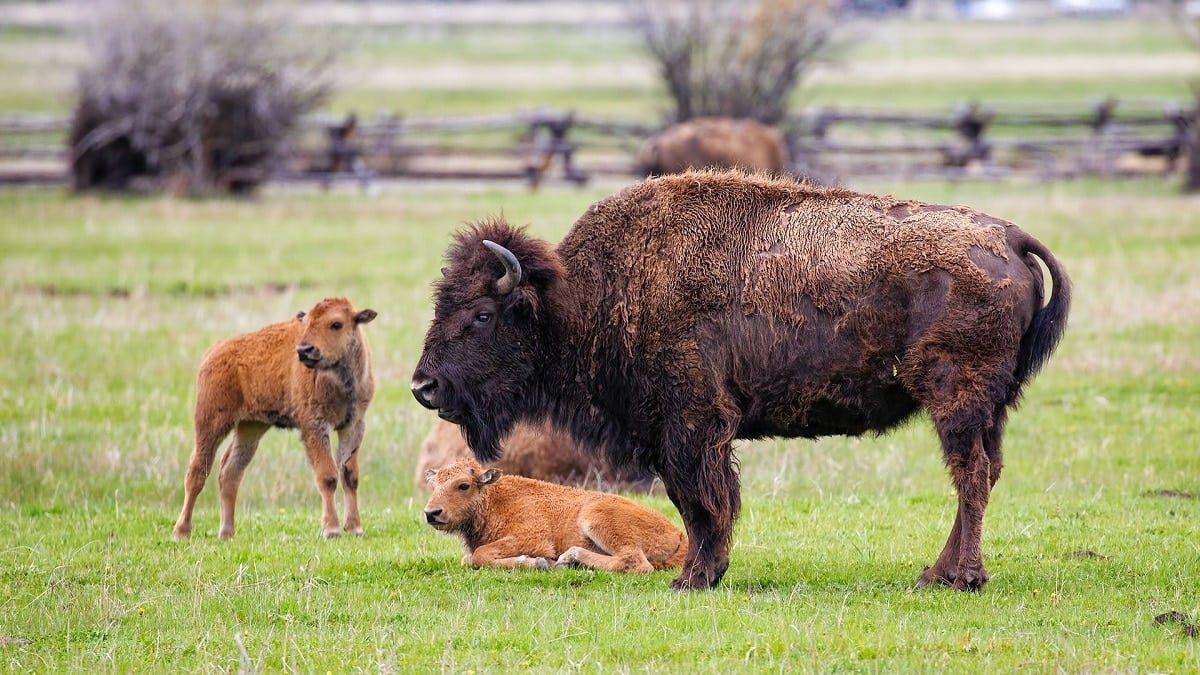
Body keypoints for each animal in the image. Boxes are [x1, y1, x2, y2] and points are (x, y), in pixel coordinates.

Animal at [172, 296, 374, 538]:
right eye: (306, 322)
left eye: (336, 324)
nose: (304, 350)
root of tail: (215, 351)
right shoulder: (315, 426)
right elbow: (327, 476)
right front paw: (331, 529)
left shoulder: (353, 425)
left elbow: (350, 476)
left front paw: (355, 528)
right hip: (210, 423)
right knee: (197, 472)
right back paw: (181, 532)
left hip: (251, 427)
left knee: (230, 472)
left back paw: (227, 533)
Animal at [422, 454, 686, 569]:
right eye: (433, 486)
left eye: (463, 485)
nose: (431, 513)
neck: (495, 500)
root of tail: (679, 534)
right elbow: (468, 558)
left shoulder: (532, 537)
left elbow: (480, 554)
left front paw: (539, 562)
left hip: (595, 516)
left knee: (635, 562)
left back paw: (569, 559)